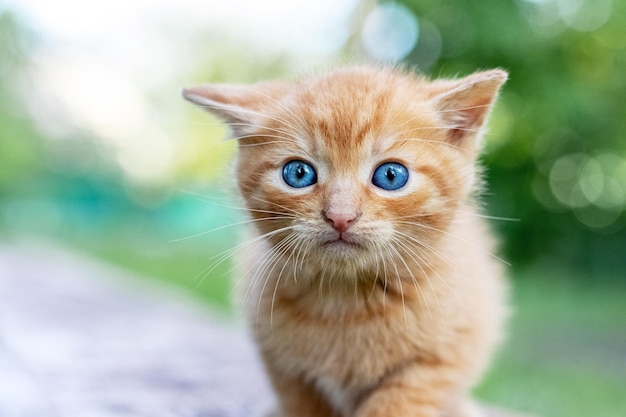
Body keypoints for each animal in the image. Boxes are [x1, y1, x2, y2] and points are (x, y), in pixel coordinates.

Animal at [180, 66, 508, 416]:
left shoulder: (444, 356)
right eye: (298, 173)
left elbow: (397, 404)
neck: (347, 299)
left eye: (391, 176)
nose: (340, 216)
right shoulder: (284, 366)